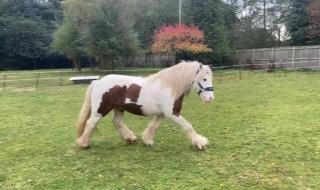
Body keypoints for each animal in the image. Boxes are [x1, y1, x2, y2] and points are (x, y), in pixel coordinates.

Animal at [76, 60, 214, 150]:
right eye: (204, 79)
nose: (210, 98)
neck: (170, 87)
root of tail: (97, 82)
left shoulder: (161, 114)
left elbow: (154, 126)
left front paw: (147, 140)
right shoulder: (172, 113)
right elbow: (188, 126)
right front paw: (200, 143)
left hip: (119, 108)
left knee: (117, 122)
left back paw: (130, 138)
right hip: (100, 110)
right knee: (90, 123)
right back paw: (83, 144)